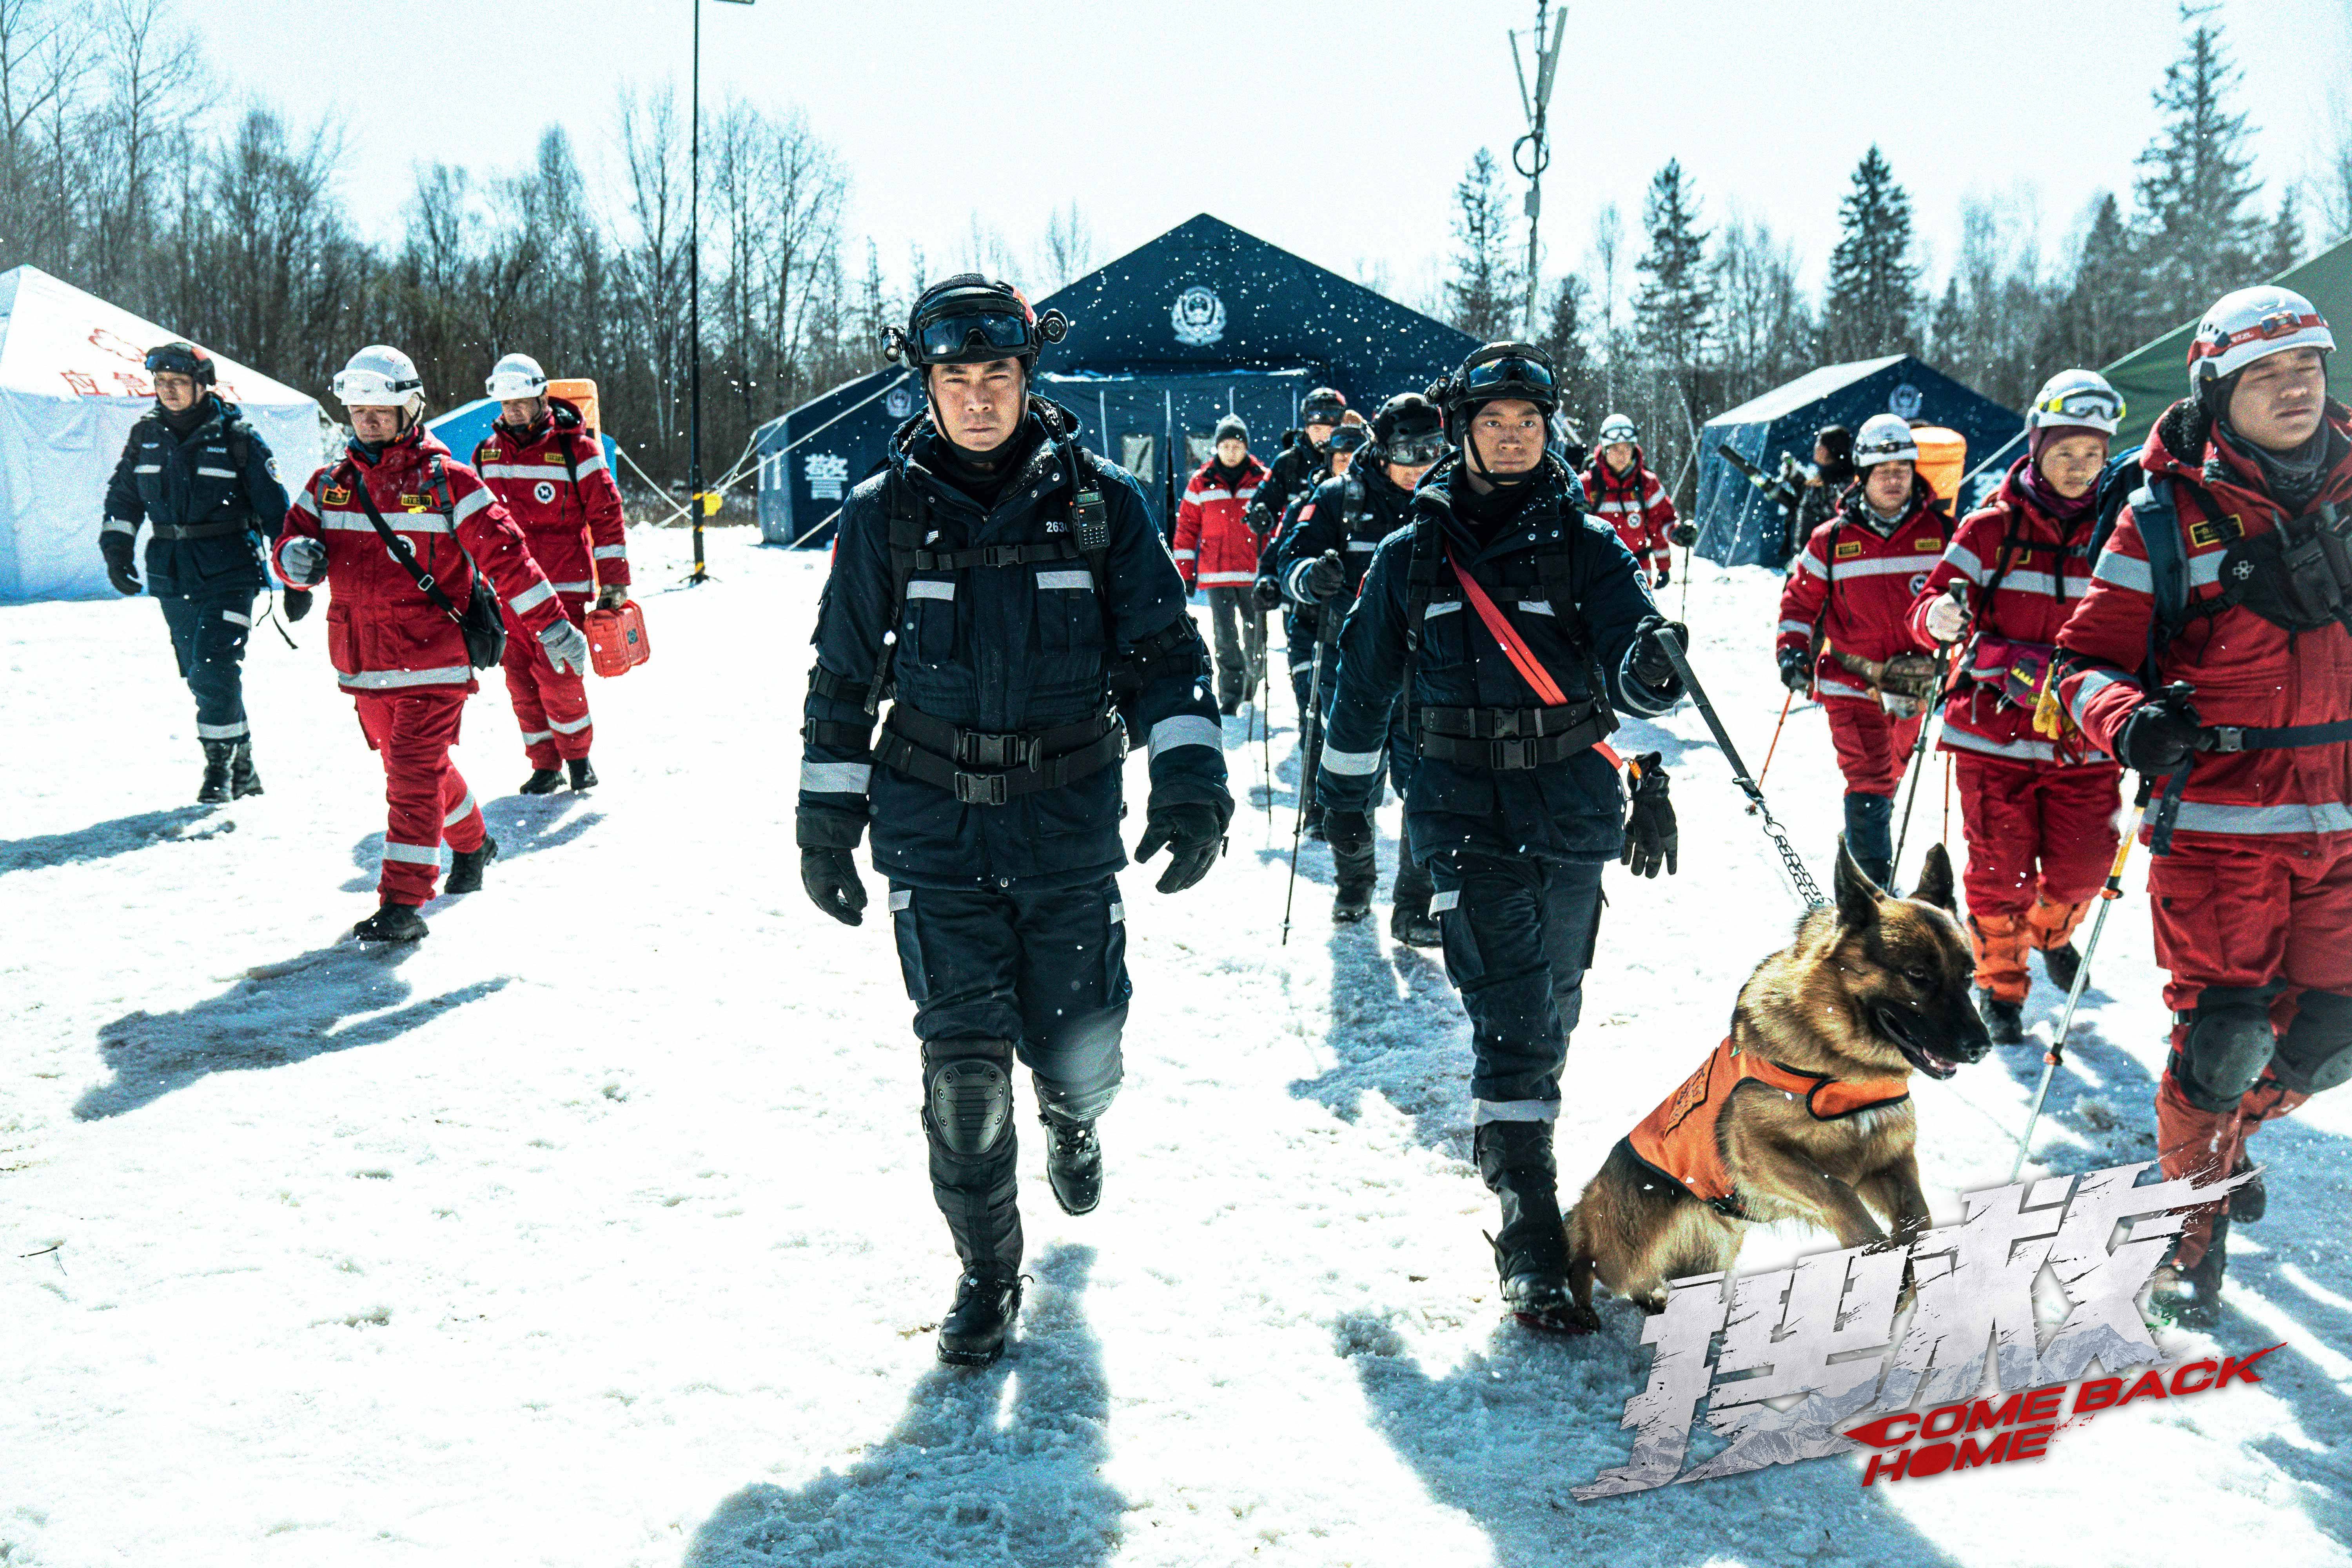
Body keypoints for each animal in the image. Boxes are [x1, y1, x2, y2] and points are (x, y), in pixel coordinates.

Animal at [1571, 841, 1994, 1335]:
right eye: (1917, 975)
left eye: (1968, 976)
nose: (1982, 1046)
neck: (1843, 1067)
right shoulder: (1764, 1155)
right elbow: (1841, 1196)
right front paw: (1876, 1262)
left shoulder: (1889, 1163)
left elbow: (1919, 1220)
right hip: (1629, 1248)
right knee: (1585, 1248)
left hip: (1712, 1251)